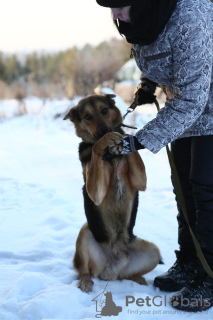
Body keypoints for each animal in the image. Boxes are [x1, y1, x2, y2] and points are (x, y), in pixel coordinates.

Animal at [64, 93, 161, 292]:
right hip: (86, 232)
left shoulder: (140, 181)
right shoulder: (95, 191)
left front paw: (124, 138)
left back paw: (138, 279)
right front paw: (102, 142)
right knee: (83, 269)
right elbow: (95, 148)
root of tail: (112, 265)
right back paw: (85, 280)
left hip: (154, 251)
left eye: (104, 110)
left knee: (127, 273)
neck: (112, 156)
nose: (104, 130)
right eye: (87, 116)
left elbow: (128, 144)